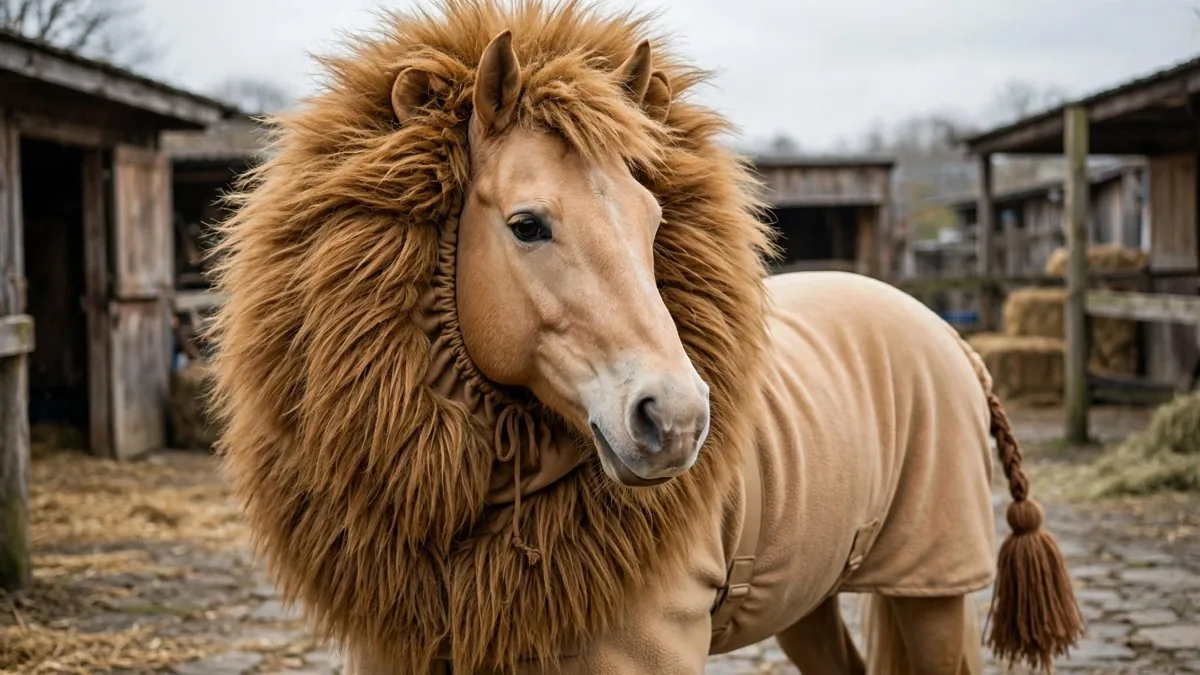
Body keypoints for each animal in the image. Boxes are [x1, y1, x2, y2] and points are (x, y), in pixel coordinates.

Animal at [206, 2, 1084, 673]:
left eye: (653, 220)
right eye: (528, 224)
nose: (679, 419)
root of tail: (952, 340)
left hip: (932, 589)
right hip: (811, 594)